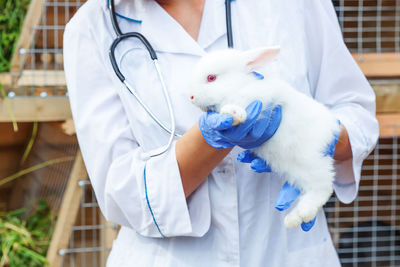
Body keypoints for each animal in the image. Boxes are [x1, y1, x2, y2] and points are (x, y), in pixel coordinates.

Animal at [189, 47, 340, 229]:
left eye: (211, 78)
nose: (191, 96)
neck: (238, 86)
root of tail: (333, 129)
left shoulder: (262, 97)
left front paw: (234, 113)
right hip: (298, 170)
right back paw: (294, 219)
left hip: (312, 162)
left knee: (323, 188)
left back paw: (302, 214)